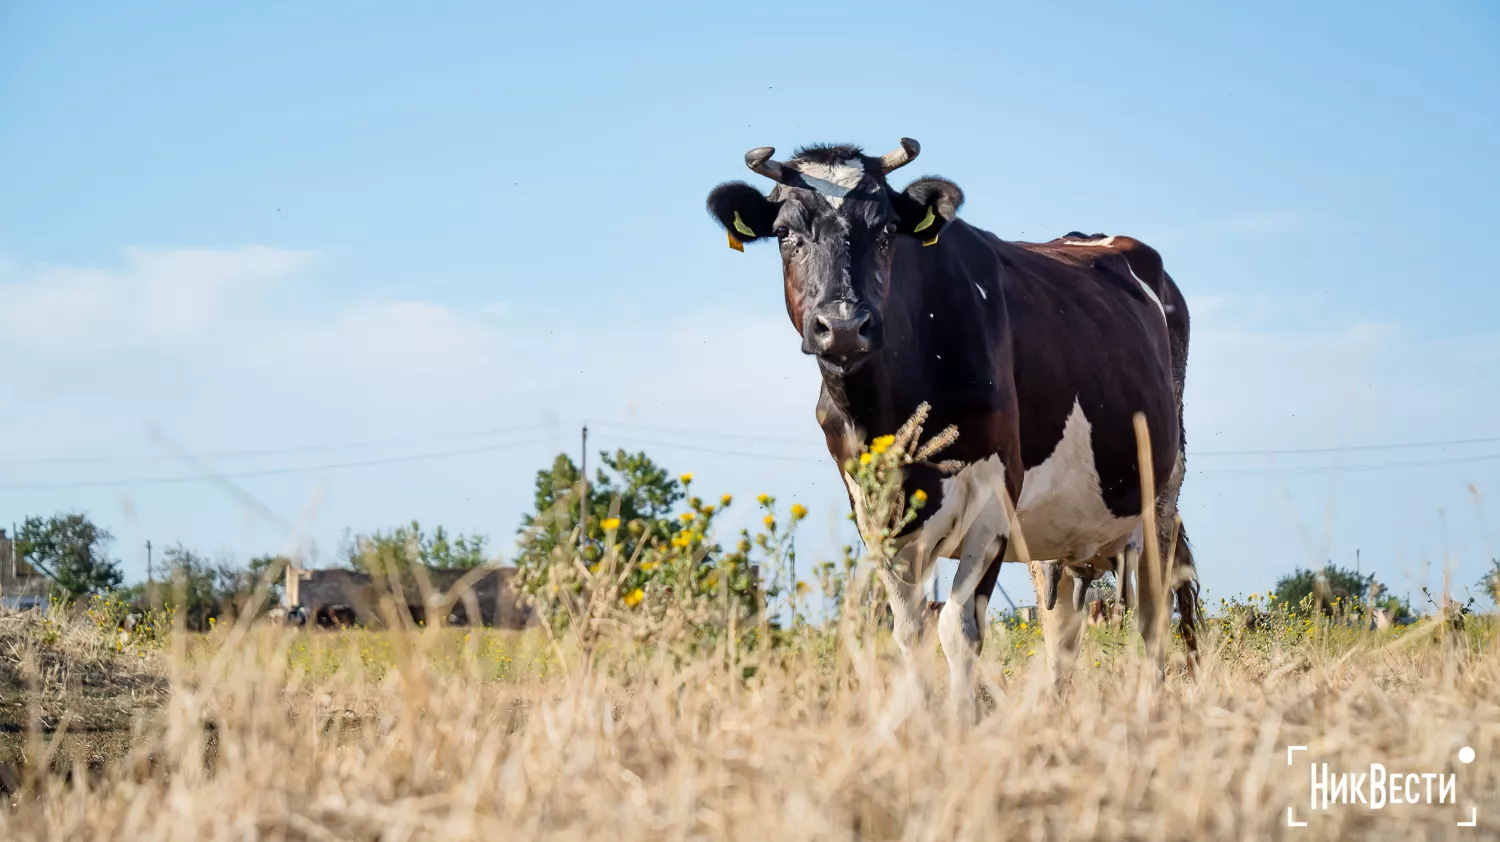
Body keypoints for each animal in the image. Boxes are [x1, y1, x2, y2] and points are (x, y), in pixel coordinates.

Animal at [705, 138, 1206, 714]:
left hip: (1161, 497)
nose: (845, 327)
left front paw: (961, 720)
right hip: (1063, 529)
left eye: (885, 230)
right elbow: (909, 630)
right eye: (786, 234)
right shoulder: (874, 508)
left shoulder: (994, 493)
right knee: (1062, 626)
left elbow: (959, 628)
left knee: (1153, 617)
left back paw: (1148, 705)